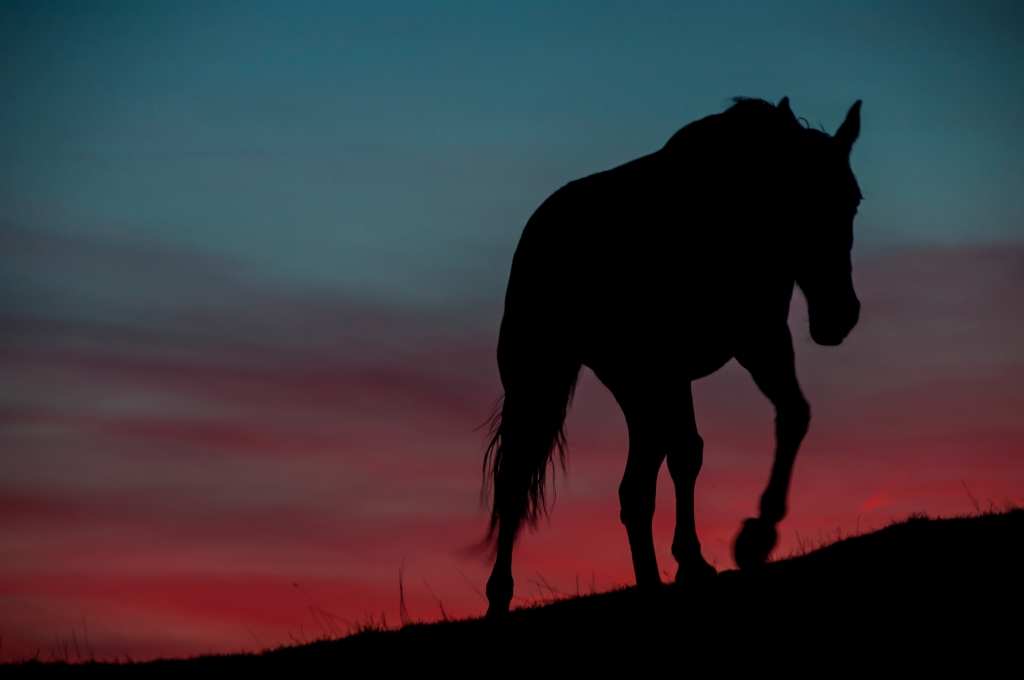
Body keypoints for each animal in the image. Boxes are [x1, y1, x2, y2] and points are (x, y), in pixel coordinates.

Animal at [482, 97, 863, 617]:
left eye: (853, 201)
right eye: (798, 200)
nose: (840, 315)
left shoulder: (758, 341)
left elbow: (786, 417)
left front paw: (735, 543)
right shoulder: (725, 350)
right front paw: (745, 541)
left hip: (636, 383)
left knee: (640, 481)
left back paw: (655, 575)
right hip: (548, 377)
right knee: (518, 477)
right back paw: (500, 595)